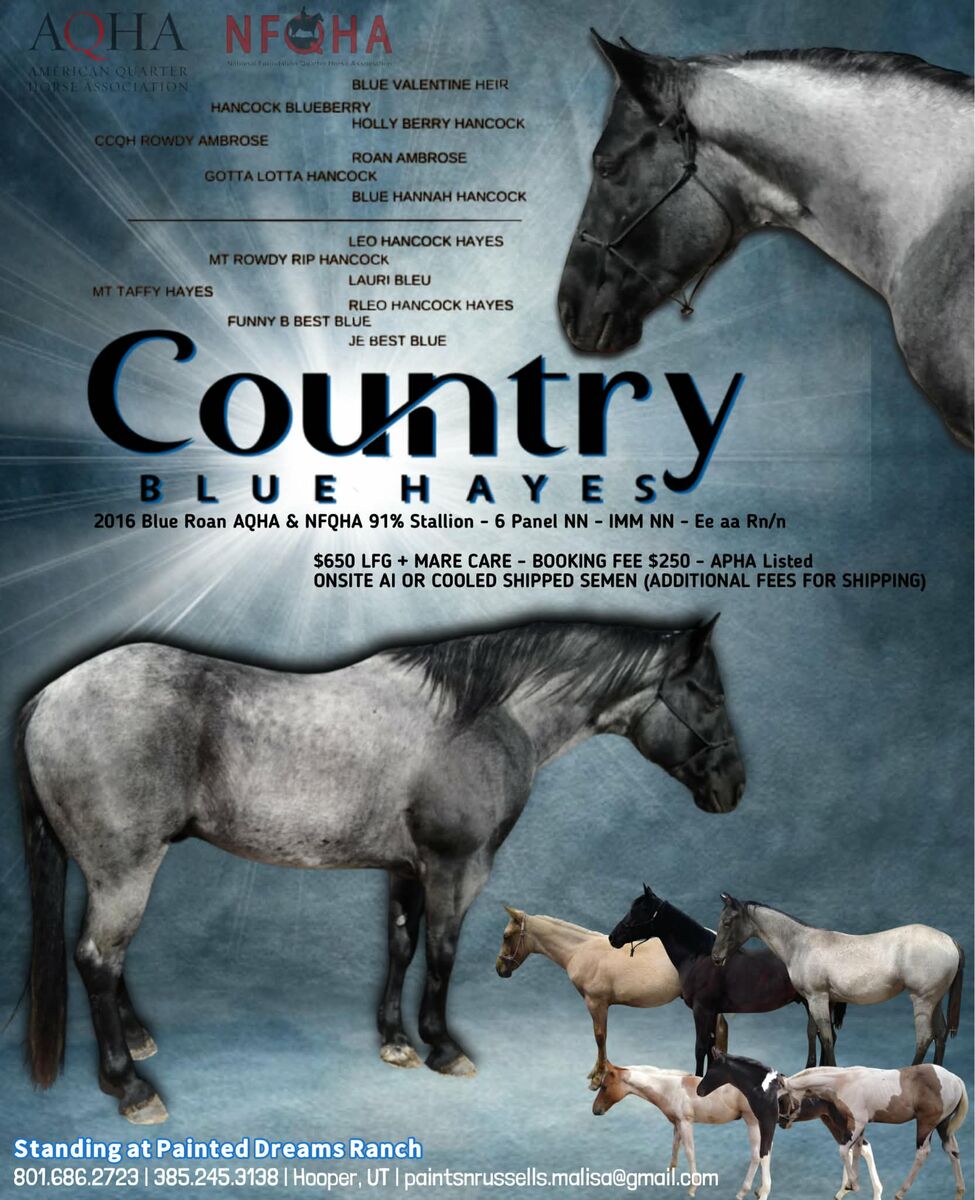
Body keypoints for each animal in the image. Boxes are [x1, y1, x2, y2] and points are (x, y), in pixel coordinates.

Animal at [494, 905, 729, 1088]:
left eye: (506, 936)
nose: (499, 969)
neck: (580, 950)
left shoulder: (596, 1002)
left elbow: (600, 1036)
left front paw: (598, 1078)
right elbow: (601, 1037)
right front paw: (596, 1071)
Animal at [593, 1061, 770, 1200]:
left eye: (604, 1086)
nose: (596, 1110)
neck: (669, 1088)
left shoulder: (685, 1123)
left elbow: (689, 1152)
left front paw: (692, 1189)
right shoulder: (677, 1123)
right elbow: (675, 1146)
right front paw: (669, 1173)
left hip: (752, 1124)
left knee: (757, 1156)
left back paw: (743, 1192)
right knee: (765, 1155)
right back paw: (760, 1190)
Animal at [608, 886, 843, 1074]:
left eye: (639, 910)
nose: (613, 937)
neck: (699, 956)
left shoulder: (701, 1009)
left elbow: (700, 1047)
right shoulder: (712, 1011)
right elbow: (710, 1047)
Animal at [712, 894, 964, 1067]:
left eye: (728, 922)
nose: (715, 957)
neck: (801, 944)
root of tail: (949, 940)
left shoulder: (818, 998)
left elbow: (826, 1036)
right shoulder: (813, 999)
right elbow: (813, 1033)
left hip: (922, 1000)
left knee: (924, 1037)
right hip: (934, 1000)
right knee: (940, 1034)